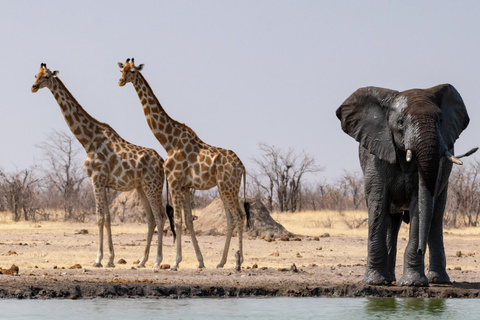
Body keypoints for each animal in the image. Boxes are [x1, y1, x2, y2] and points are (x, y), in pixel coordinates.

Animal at [31, 62, 174, 268]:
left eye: (47, 76)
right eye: (36, 74)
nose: (33, 87)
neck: (87, 140)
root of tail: (162, 161)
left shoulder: (96, 179)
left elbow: (99, 218)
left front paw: (98, 259)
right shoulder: (104, 183)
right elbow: (107, 218)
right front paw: (111, 259)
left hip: (152, 185)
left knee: (160, 217)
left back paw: (157, 261)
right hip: (141, 187)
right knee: (150, 219)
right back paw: (141, 262)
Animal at [118, 58, 251, 270]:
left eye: (133, 71)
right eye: (122, 69)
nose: (121, 81)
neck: (168, 141)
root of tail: (242, 166)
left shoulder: (174, 183)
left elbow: (179, 220)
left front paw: (175, 262)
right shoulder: (186, 187)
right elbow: (188, 220)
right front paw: (200, 261)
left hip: (228, 187)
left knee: (238, 217)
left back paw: (238, 262)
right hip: (224, 188)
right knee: (231, 219)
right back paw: (221, 262)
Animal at [336, 84, 474, 286]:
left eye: (440, 120)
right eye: (400, 122)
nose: (420, 249)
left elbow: (420, 205)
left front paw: (413, 283)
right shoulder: (376, 156)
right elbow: (378, 203)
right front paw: (375, 282)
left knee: (435, 218)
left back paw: (438, 280)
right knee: (391, 221)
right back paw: (388, 279)